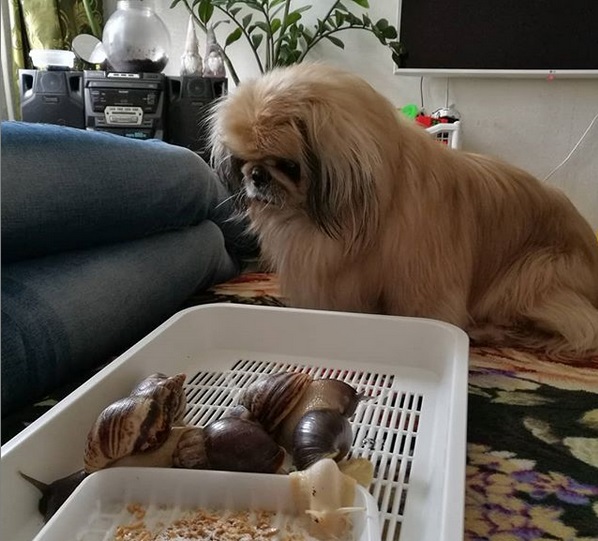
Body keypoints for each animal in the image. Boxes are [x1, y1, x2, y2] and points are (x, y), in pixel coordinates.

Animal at [210, 63, 598, 356]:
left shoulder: (422, 281)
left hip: (532, 277)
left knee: (580, 328)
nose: (256, 175)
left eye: (289, 166)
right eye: (242, 161)